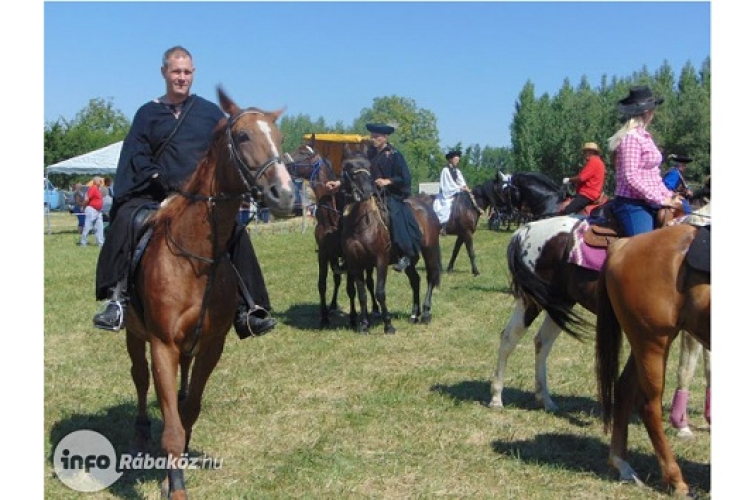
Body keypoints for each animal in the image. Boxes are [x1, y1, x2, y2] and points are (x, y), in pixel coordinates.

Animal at [125, 88, 296, 498]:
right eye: (244, 136)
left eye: (280, 138)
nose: (284, 195)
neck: (194, 257)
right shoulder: (162, 345)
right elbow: (170, 424)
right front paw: (176, 487)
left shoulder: (211, 344)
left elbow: (188, 411)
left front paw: (177, 465)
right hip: (133, 334)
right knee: (139, 377)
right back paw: (139, 433)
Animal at [344, 152, 444, 332]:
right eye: (350, 168)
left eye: (368, 167)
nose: (367, 192)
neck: (361, 223)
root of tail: (427, 208)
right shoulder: (355, 264)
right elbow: (362, 294)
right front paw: (364, 325)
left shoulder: (381, 260)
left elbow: (379, 292)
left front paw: (388, 324)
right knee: (415, 280)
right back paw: (414, 315)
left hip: (430, 250)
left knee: (431, 276)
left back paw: (426, 314)